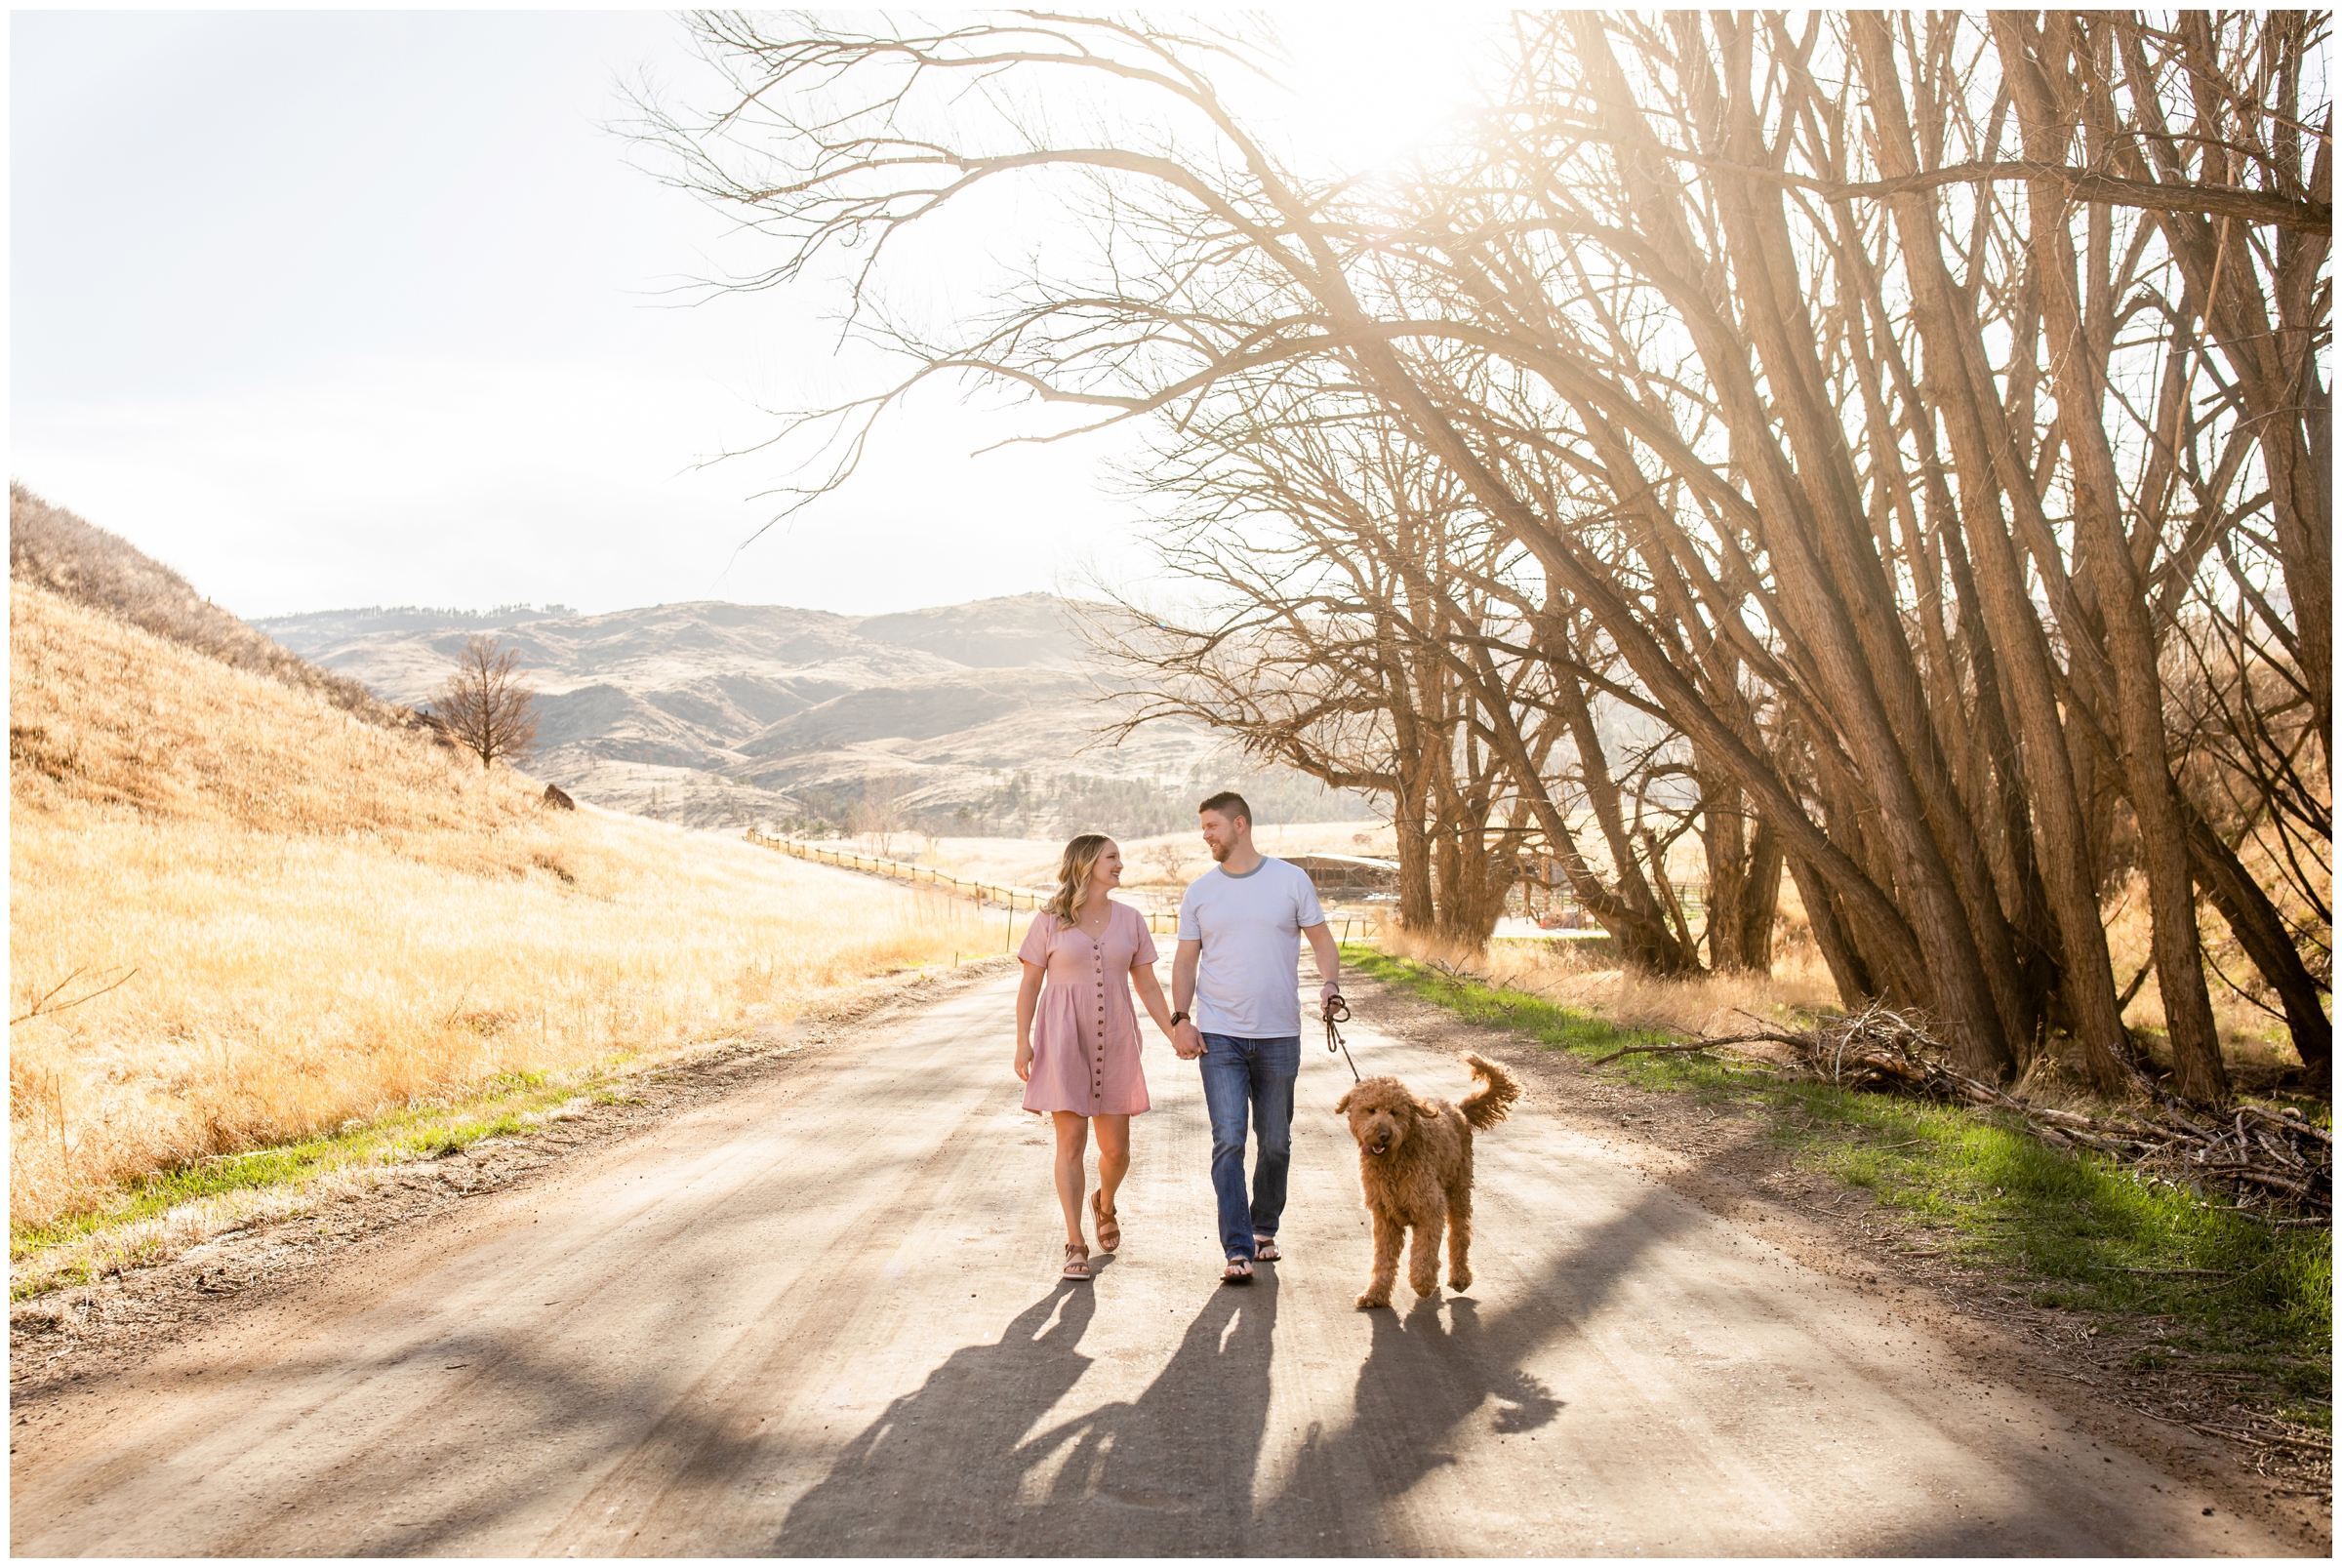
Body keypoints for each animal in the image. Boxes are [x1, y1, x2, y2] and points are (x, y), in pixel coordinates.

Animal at [1339, 1058, 1517, 1310]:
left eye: (1394, 1112)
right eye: (1371, 1110)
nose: (1383, 1134)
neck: (1394, 1161)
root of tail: (1458, 1108)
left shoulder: (1429, 1208)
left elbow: (1424, 1250)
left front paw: (1422, 1283)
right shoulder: (1385, 1216)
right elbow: (1383, 1258)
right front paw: (1375, 1293)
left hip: (1458, 1188)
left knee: (1459, 1233)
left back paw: (1460, 1276)